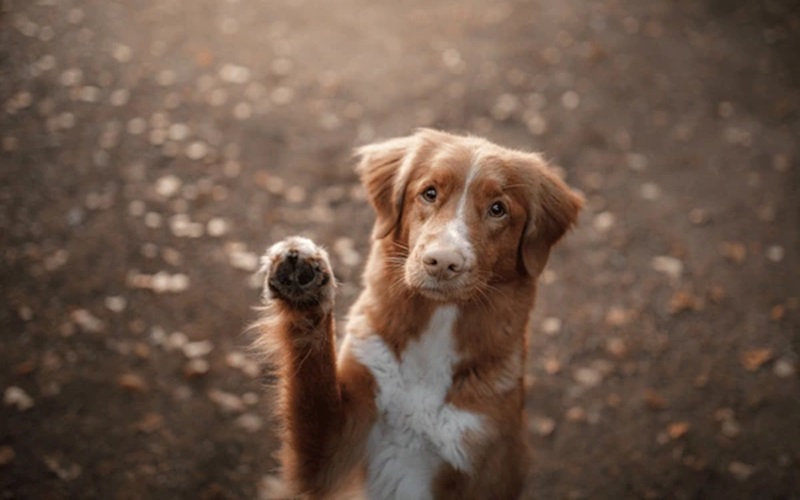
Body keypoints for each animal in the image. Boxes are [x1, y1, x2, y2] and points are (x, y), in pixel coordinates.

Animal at [260, 127, 584, 498]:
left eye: (498, 209)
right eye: (429, 193)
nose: (442, 261)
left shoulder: (481, 465)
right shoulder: (330, 453)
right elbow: (311, 380)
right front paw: (305, 286)